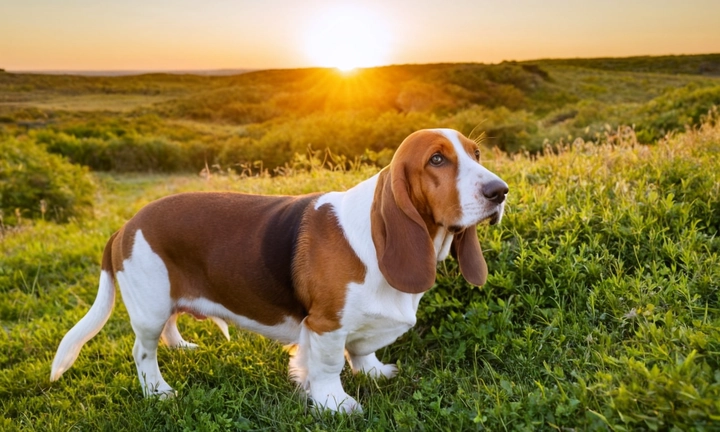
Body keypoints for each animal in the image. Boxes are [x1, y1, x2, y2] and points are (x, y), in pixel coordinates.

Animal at [49, 127, 506, 412]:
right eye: (436, 159)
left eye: (477, 153)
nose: (499, 191)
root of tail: (125, 226)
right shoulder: (324, 325)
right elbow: (329, 366)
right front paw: (337, 404)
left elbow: (362, 350)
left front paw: (376, 372)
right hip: (149, 307)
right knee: (143, 352)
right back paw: (158, 390)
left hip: (166, 300)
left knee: (170, 327)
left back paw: (181, 348)